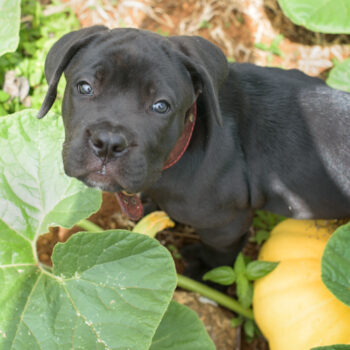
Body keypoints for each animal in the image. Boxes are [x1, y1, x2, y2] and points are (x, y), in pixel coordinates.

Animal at [38, 25, 350, 276]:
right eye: (84, 87)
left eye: (161, 106)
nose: (108, 143)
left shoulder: (227, 227)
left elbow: (219, 258)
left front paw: (201, 273)